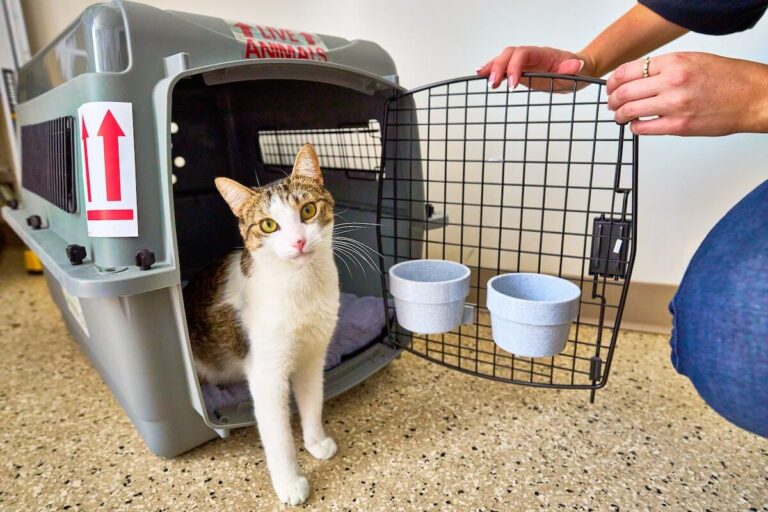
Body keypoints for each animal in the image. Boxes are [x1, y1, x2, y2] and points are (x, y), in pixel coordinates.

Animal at [183, 143, 340, 504]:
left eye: (308, 210)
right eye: (268, 225)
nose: (298, 241)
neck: (301, 287)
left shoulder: (313, 355)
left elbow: (312, 401)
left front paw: (315, 442)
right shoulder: (266, 372)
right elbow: (278, 435)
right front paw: (290, 483)